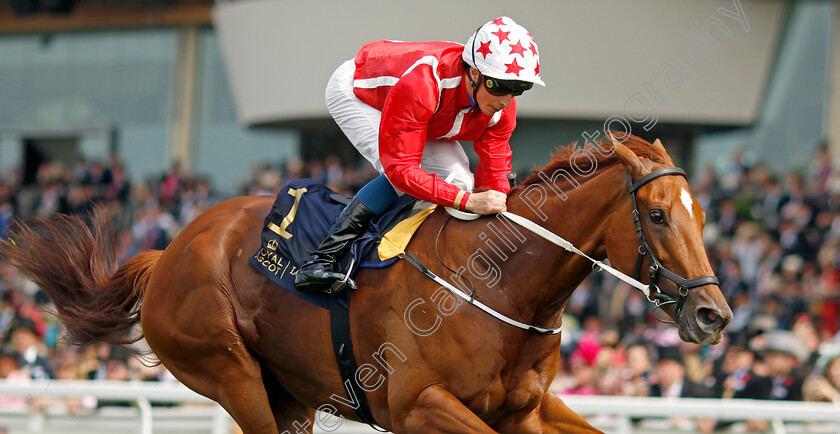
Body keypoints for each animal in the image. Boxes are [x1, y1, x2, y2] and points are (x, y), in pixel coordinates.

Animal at [3, 134, 728, 432]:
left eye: (703, 215)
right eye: (657, 215)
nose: (714, 315)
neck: (499, 286)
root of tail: (168, 251)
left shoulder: (525, 409)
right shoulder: (416, 406)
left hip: (290, 392)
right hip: (226, 368)